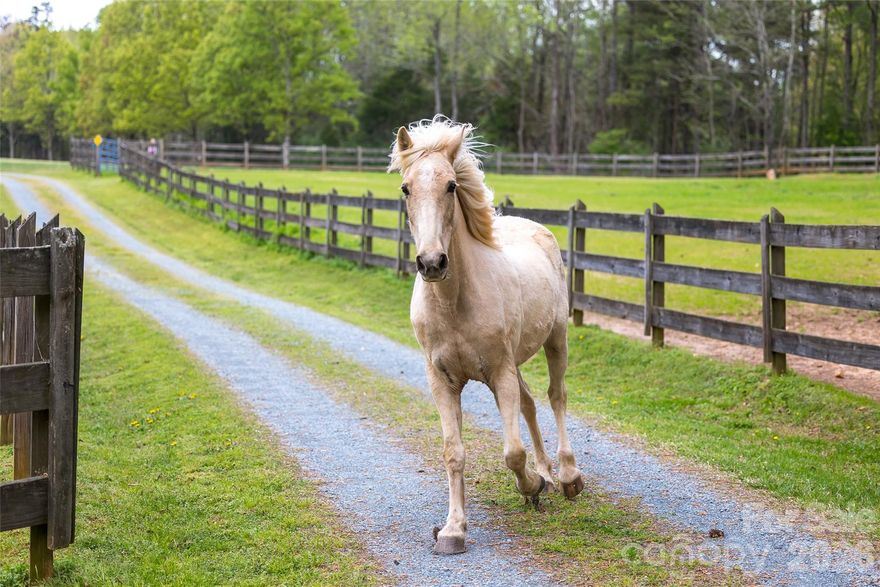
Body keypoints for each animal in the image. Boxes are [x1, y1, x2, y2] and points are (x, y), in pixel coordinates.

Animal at [388, 117, 584, 555]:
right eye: (406, 188)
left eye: (450, 186)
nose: (432, 263)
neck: (454, 303)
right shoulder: (443, 380)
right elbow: (453, 453)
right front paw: (452, 530)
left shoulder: (499, 373)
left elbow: (512, 452)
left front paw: (532, 485)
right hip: (518, 361)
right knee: (530, 403)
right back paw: (547, 471)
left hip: (556, 339)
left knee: (556, 396)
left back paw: (566, 476)